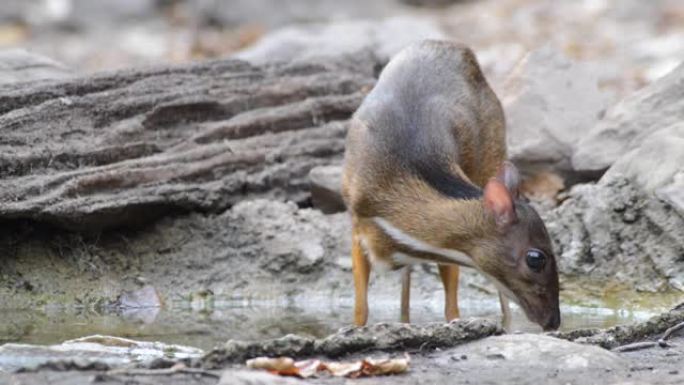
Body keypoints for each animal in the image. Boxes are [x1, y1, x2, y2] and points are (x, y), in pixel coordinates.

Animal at [342, 40, 560, 332]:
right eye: (536, 259)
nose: (554, 321)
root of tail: (456, 48)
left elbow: (452, 309)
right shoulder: (357, 225)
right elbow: (360, 310)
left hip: (492, 155)